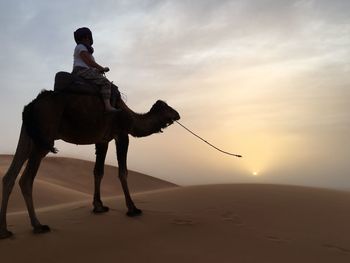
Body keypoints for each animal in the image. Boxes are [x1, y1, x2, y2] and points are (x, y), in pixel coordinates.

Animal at [0, 78, 180, 239]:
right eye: (168, 107)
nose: (178, 114)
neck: (130, 117)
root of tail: (30, 106)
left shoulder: (102, 140)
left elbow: (98, 172)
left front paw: (99, 206)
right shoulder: (121, 135)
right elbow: (123, 172)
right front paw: (132, 209)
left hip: (28, 134)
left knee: (10, 175)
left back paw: (5, 231)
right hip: (44, 139)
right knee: (26, 180)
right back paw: (38, 225)